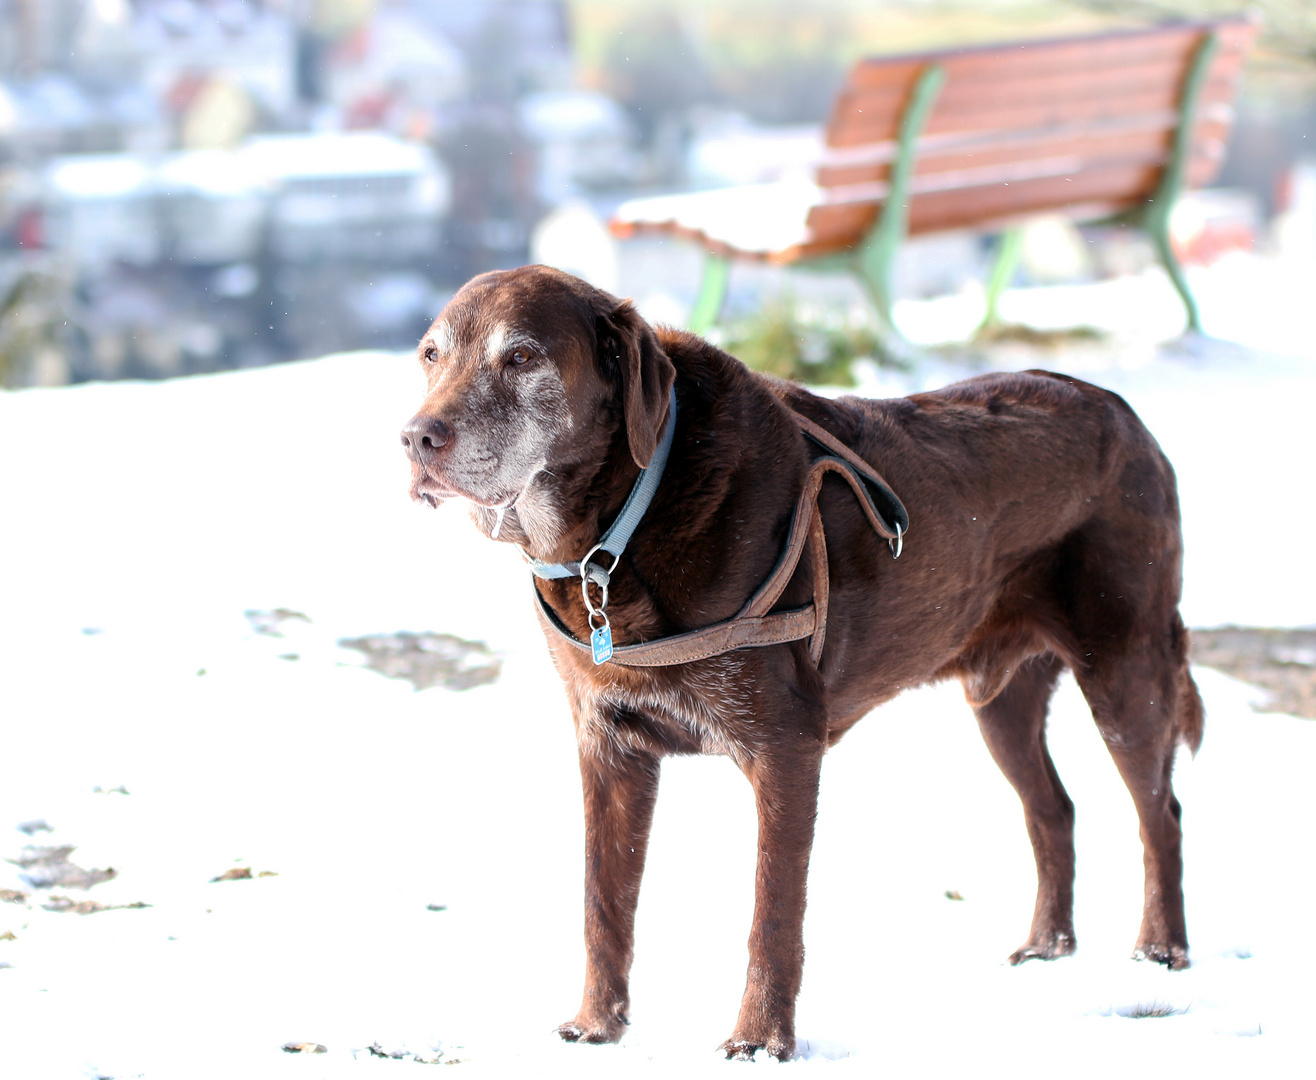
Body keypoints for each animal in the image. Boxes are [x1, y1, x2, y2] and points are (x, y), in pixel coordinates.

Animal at [400, 265, 1205, 1057]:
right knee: (1053, 809)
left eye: (521, 357)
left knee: (1160, 810)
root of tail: (1127, 415)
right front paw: (596, 1026)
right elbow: (604, 903)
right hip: (999, 699)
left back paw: (1161, 950)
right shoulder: (610, 747)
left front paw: (760, 1040)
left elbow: (773, 914)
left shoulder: (785, 747)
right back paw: (1046, 947)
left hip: (1124, 671)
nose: (414, 438)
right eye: (431, 355)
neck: (624, 521)